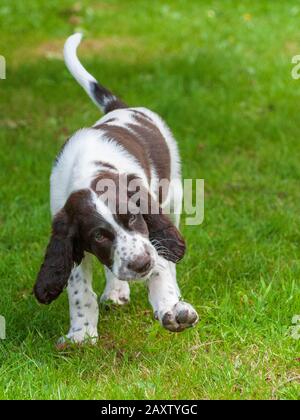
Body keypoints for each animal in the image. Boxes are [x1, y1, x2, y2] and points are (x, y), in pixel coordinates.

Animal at [33, 33, 199, 344]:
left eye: (133, 217)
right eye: (99, 235)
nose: (140, 265)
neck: (90, 172)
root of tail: (121, 108)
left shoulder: (149, 227)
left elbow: (161, 264)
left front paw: (171, 308)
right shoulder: (70, 234)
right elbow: (79, 288)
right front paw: (82, 333)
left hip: (174, 195)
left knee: (170, 250)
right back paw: (116, 290)